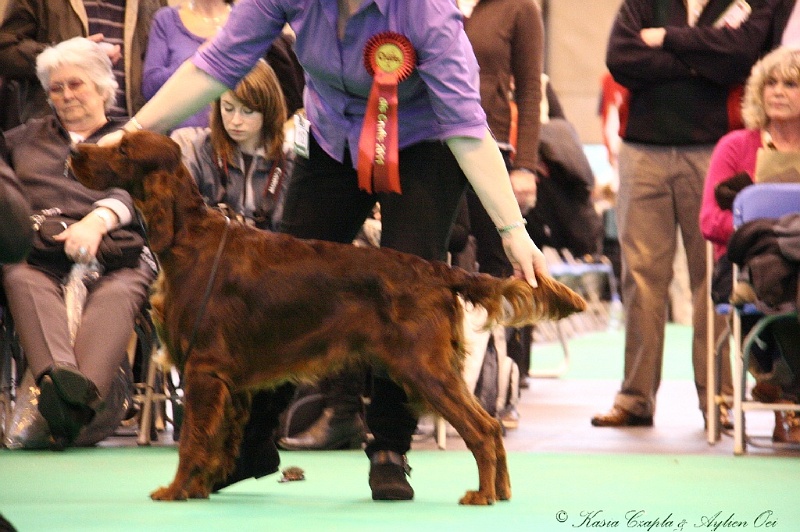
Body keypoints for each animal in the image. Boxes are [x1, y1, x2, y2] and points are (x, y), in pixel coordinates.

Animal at [72, 131, 584, 504]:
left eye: (122, 149)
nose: (75, 151)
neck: (187, 238)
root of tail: (437, 270)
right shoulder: (228, 380)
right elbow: (218, 437)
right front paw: (200, 488)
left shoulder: (204, 368)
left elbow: (193, 439)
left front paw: (176, 490)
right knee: (491, 426)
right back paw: (501, 492)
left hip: (424, 367)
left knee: (481, 427)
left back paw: (481, 495)